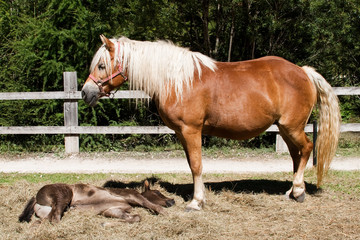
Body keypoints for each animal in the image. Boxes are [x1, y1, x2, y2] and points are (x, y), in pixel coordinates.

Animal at [19, 181, 175, 224]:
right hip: (63, 194)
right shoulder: (133, 195)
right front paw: (165, 213)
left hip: (45, 212)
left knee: (44, 220)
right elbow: (150, 204)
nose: (172, 200)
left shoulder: (113, 210)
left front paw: (105, 223)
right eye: (157, 192)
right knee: (55, 217)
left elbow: (135, 217)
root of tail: (36, 197)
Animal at [81, 35, 340, 210]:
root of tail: (303, 71)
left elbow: (197, 165)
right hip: (285, 129)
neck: (177, 80)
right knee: (297, 155)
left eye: (102, 65)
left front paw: (196, 202)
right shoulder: (182, 133)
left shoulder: (191, 130)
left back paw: (299, 191)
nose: (85, 92)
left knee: (307, 149)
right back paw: (292, 191)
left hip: (292, 127)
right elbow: (191, 165)